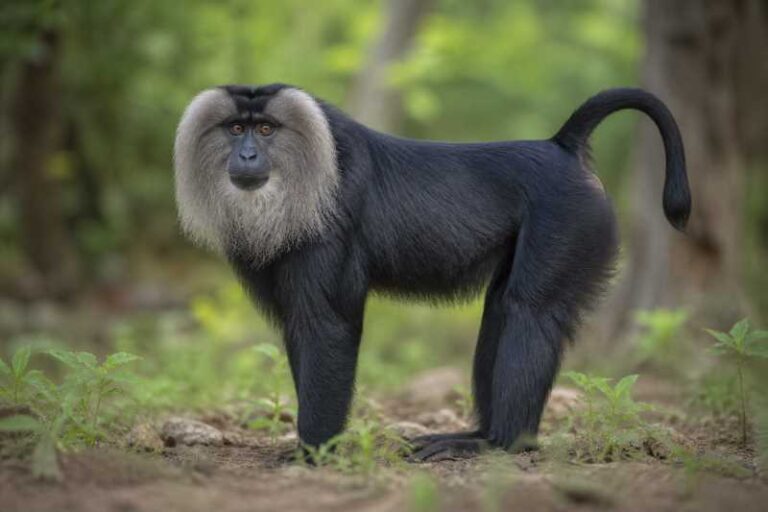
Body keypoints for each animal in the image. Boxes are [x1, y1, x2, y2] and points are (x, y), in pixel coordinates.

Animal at [174, 84, 690, 462]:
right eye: (236, 128)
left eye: (265, 129)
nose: (245, 156)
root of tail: (560, 148)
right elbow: (301, 330)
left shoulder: (330, 233)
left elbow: (328, 327)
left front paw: (313, 453)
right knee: (500, 312)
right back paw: (477, 434)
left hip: (570, 222)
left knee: (530, 314)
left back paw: (498, 444)